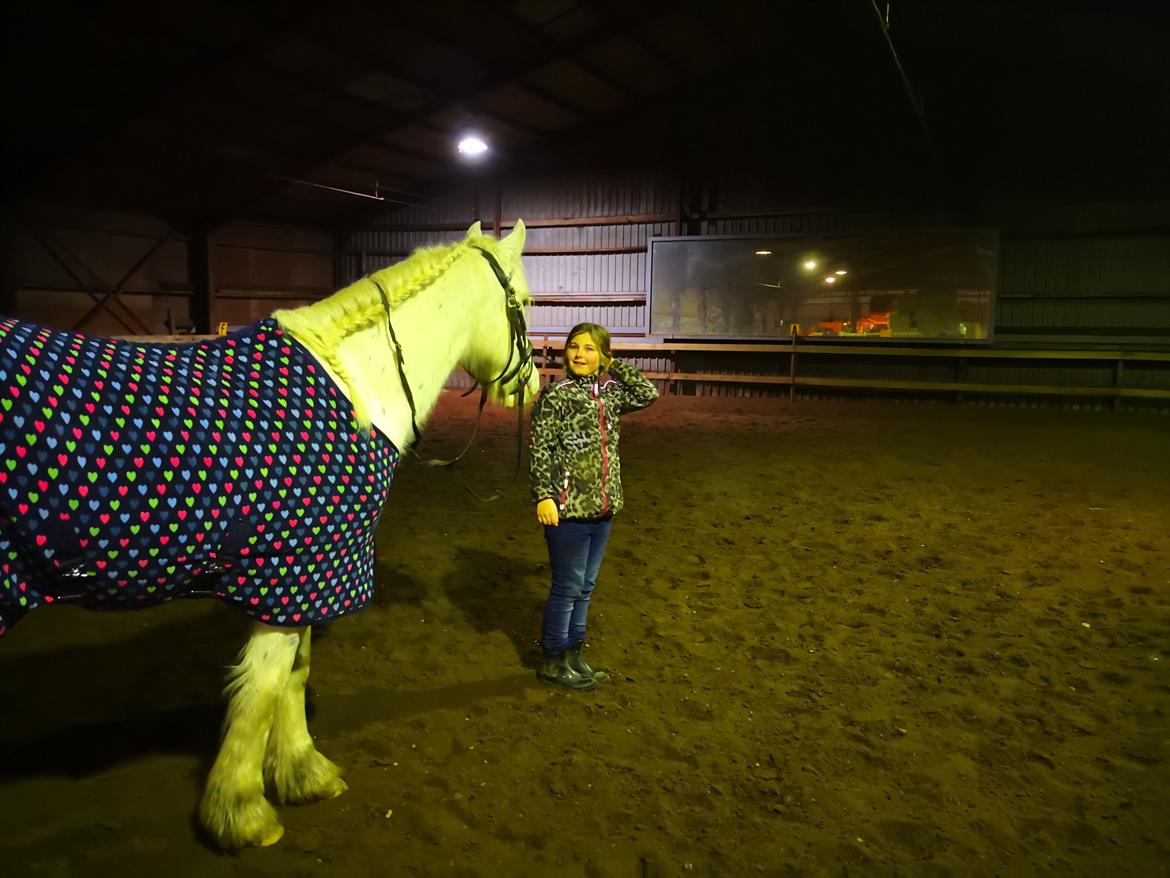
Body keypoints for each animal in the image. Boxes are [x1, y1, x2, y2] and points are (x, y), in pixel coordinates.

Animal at [0, 220, 538, 852]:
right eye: (525, 303)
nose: (530, 389)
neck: (356, 384)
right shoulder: (293, 571)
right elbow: (262, 688)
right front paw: (241, 812)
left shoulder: (301, 583)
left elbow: (294, 676)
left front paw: (303, 772)